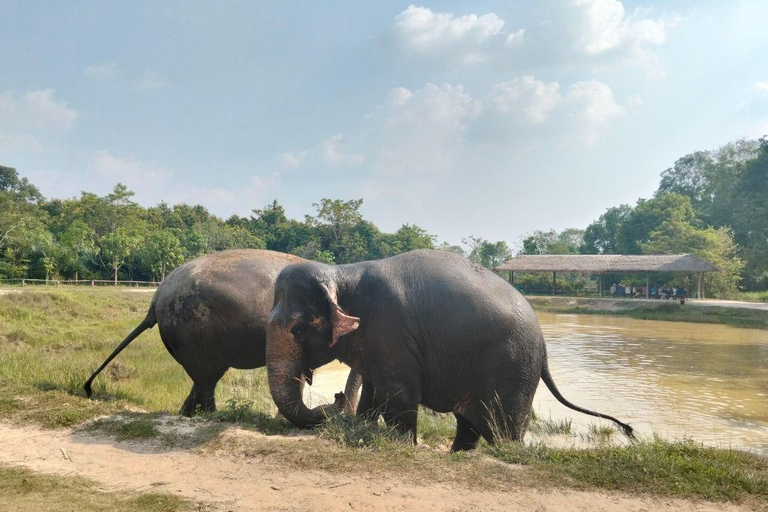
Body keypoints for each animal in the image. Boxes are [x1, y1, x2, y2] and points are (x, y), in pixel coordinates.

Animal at [84, 249, 361, 417]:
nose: (337, 399)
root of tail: (155, 299)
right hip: (194, 330)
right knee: (207, 377)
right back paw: (212, 416)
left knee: (201, 378)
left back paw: (187, 414)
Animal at [265, 249, 633, 451]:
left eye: (298, 330)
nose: (335, 399)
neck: (342, 273)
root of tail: (543, 347)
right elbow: (373, 392)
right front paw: (364, 431)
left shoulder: (391, 333)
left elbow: (399, 397)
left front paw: (402, 446)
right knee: (468, 424)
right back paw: (458, 454)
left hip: (512, 373)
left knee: (503, 431)